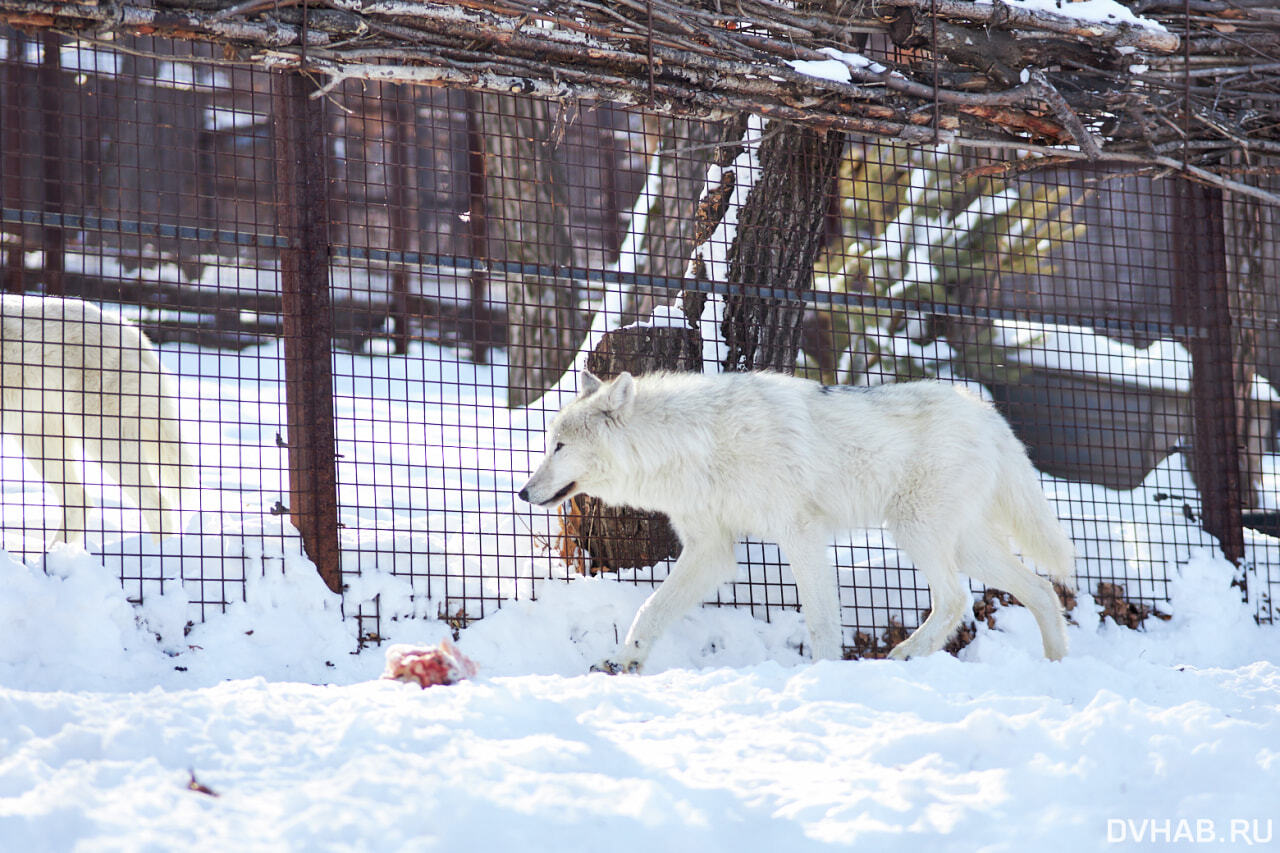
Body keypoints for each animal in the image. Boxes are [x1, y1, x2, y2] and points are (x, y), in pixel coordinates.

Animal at [514, 368, 1075, 666]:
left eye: (559, 446)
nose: (522, 492)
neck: (698, 446)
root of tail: (985, 410)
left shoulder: (799, 534)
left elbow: (822, 619)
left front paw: (824, 674)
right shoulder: (710, 552)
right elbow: (650, 609)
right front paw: (624, 661)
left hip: (916, 532)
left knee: (957, 597)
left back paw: (906, 655)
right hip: (963, 545)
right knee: (1040, 590)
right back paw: (1056, 664)